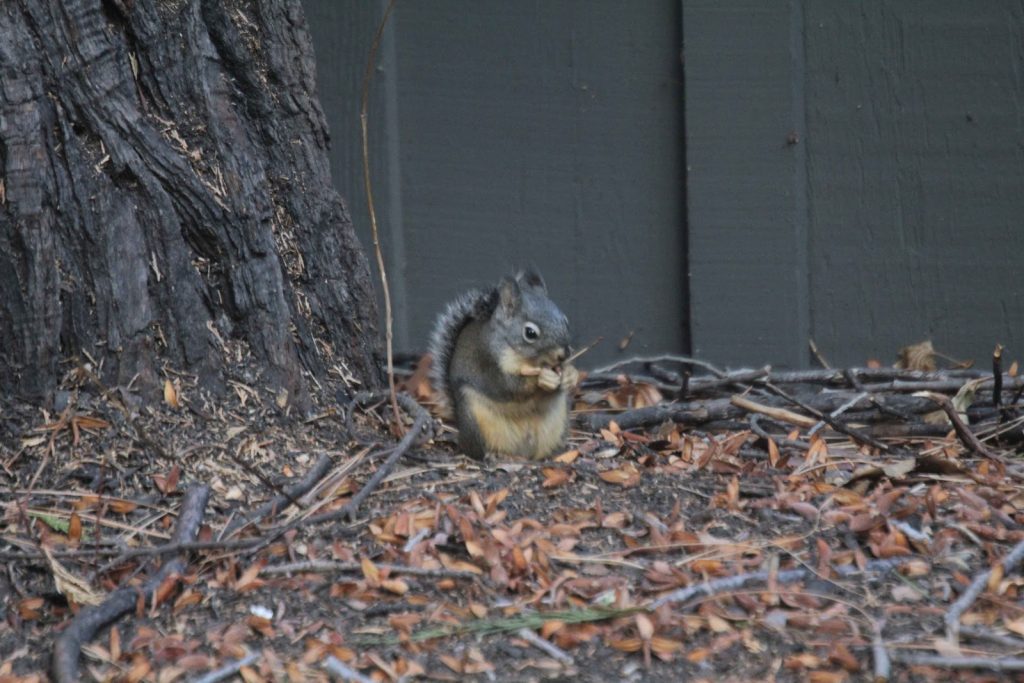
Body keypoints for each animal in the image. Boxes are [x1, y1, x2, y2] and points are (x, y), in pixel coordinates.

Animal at [429, 270, 579, 460]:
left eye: (565, 320)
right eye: (530, 333)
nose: (564, 354)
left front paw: (570, 375)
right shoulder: (488, 360)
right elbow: (509, 387)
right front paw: (543, 378)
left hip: (558, 423)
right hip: (474, 418)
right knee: (476, 450)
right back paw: (492, 455)